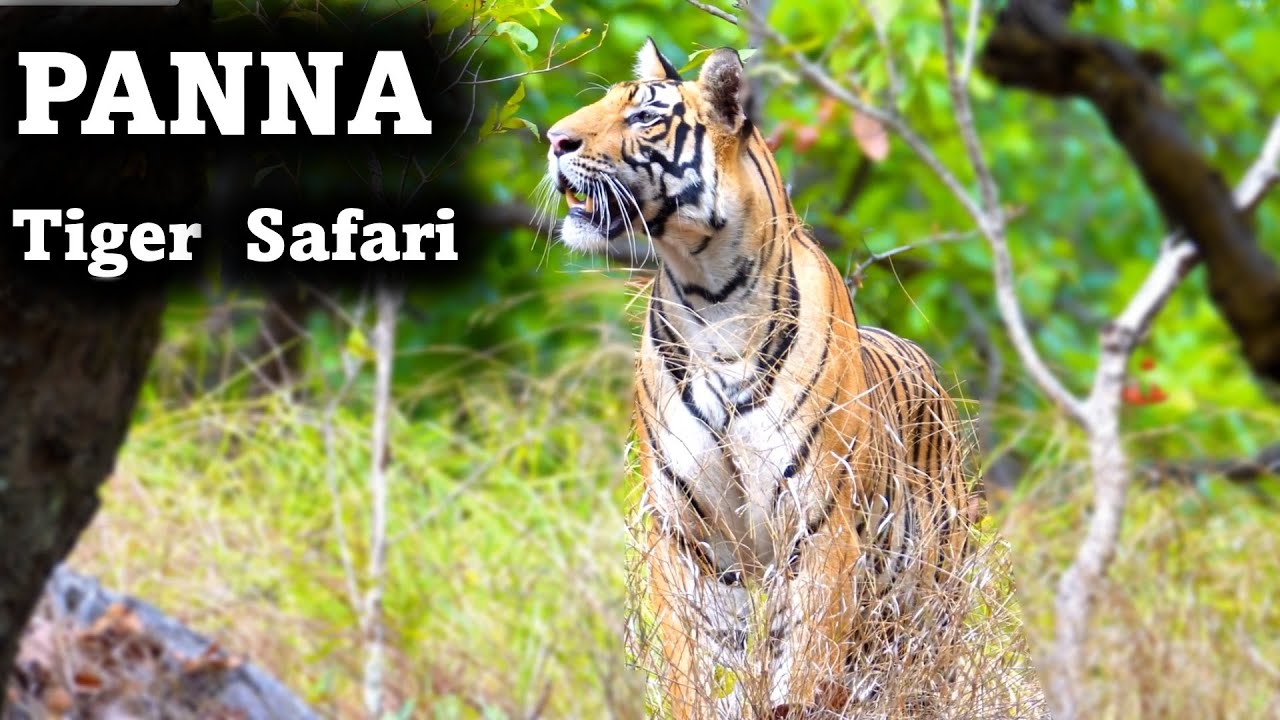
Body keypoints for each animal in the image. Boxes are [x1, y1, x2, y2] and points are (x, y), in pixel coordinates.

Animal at [544, 39, 980, 718]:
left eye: (644, 117)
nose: (554, 140)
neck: (711, 296)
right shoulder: (686, 536)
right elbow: (696, 667)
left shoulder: (818, 527)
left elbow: (801, 675)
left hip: (924, 615)